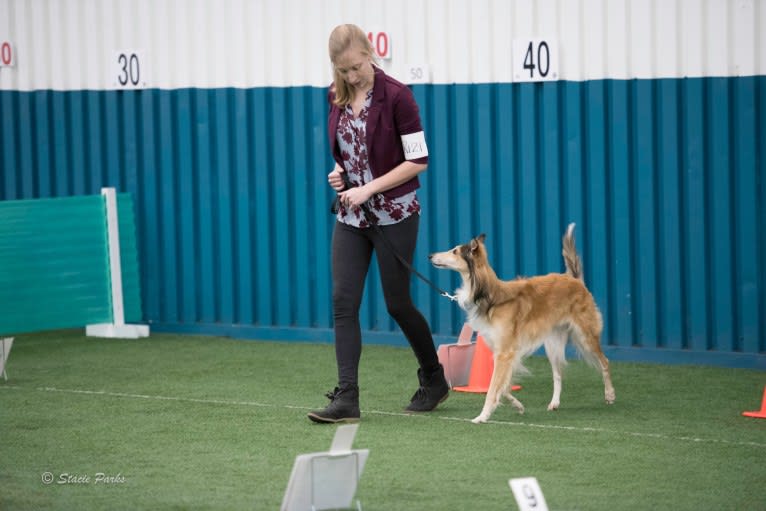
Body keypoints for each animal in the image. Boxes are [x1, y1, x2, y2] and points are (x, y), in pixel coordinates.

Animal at [432, 224, 616, 424]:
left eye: (455, 251)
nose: (430, 256)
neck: (491, 297)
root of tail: (574, 279)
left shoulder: (504, 353)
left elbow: (492, 389)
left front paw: (482, 416)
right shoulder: (504, 353)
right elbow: (503, 386)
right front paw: (517, 405)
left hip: (585, 337)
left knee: (605, 362)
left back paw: (610, 395)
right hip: (552, 344)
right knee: (558, 374)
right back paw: (554, 403)